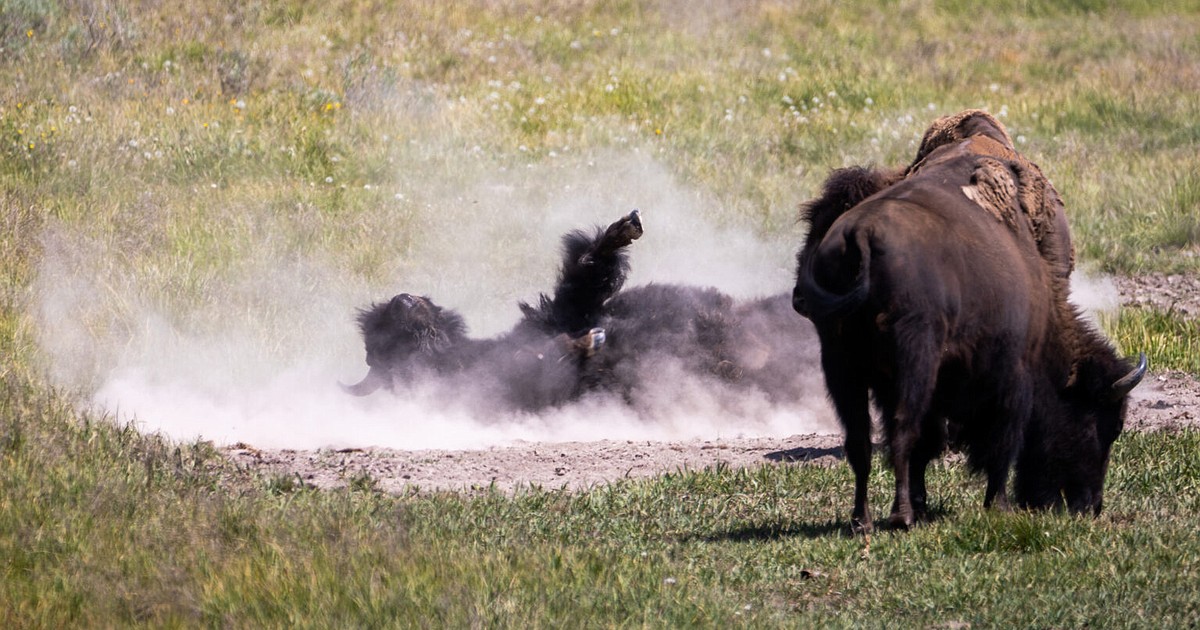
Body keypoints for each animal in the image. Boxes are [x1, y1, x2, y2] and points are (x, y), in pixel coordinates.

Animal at [792, 115, 1147, 528]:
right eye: (1109, 425)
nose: (1089, 506)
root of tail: (861, 235)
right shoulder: (1014, 376)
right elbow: (1002, 442)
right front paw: (998, 504)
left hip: (841, 365)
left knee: (861, 440)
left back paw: (863, 519)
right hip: (912, 360)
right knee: (903, 431)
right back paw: (901, 516)